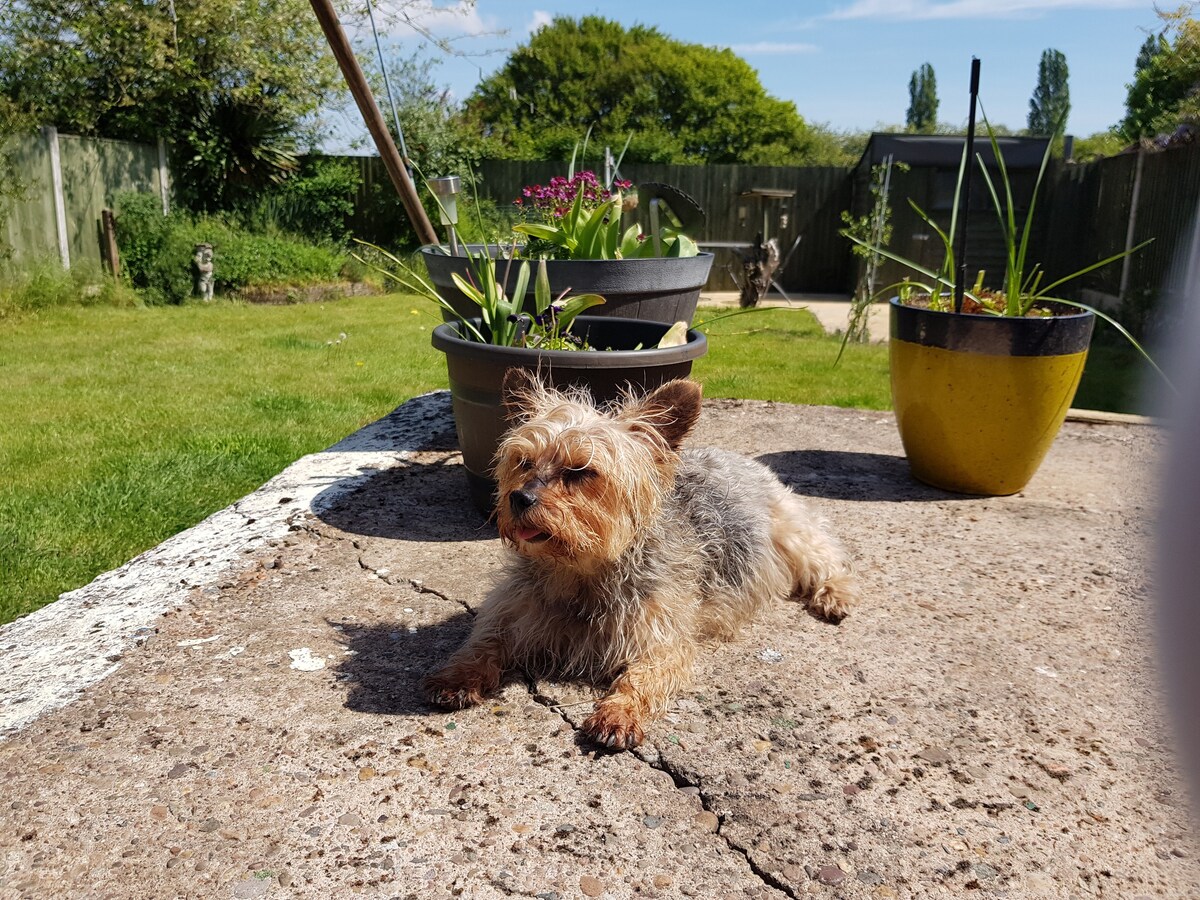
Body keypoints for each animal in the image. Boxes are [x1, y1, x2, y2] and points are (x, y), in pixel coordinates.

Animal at [427, 369, 859, 748]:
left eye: (580, 471)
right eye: (524, 462)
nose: (518, 498)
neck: (580, 571)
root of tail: (734, 456)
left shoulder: (664, 637)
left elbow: (644, 676)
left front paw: (619, 712)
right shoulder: (514, 609)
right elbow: (485, 640)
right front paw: (460, 676)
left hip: (789, 529)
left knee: (827, 554)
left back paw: (835, 594)